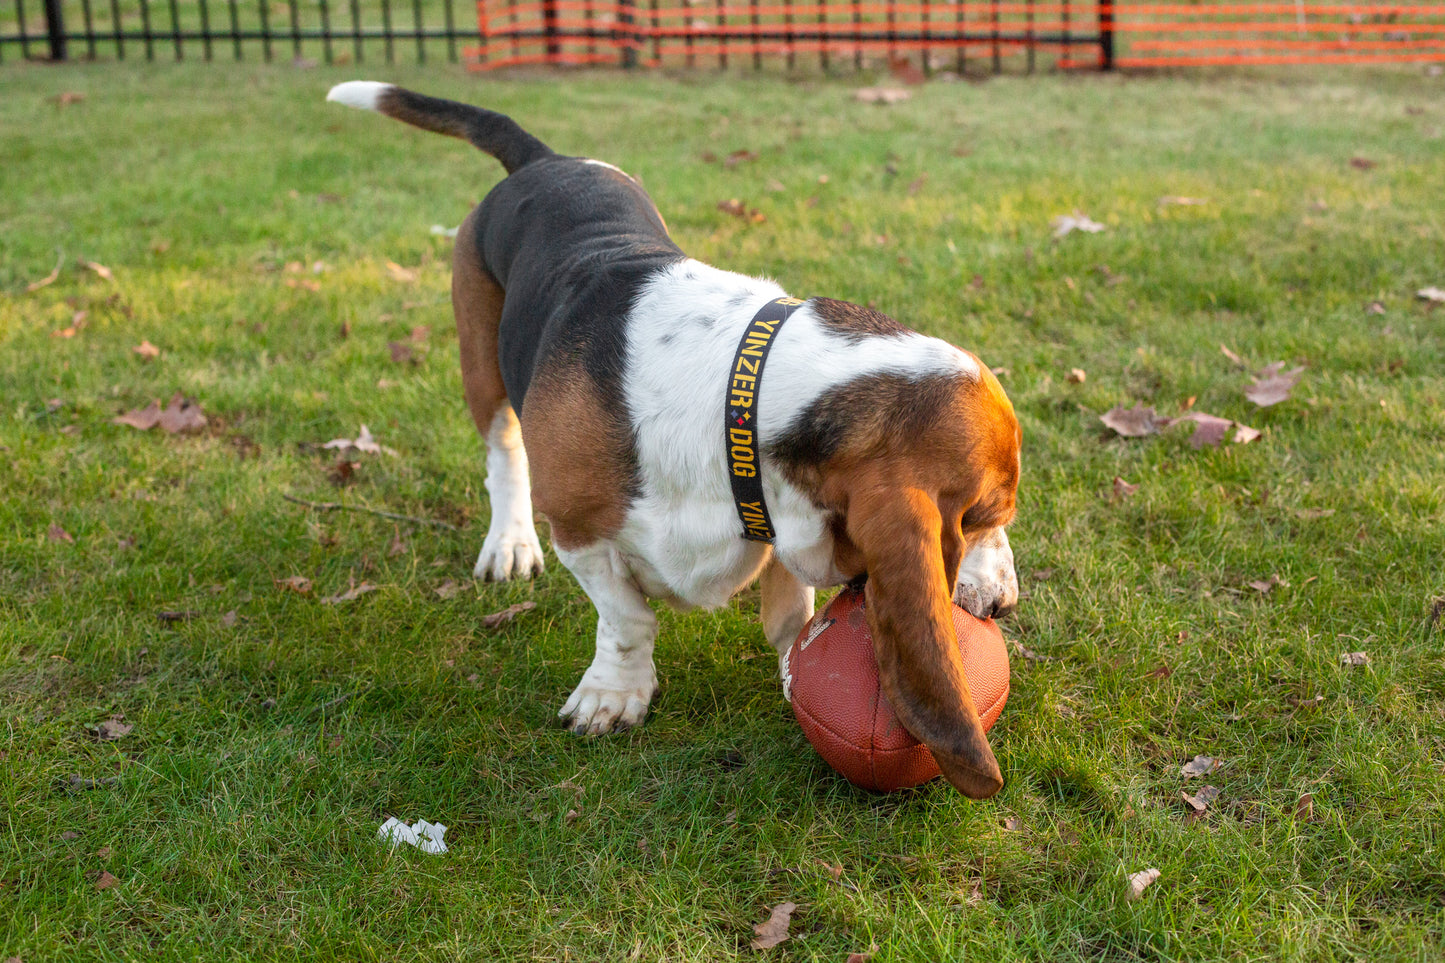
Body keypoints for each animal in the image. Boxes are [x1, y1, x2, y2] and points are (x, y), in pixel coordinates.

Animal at [330, 82, 1028, 792]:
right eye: (982, 517)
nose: (1003, 605)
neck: (740, 400)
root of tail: (544, 160)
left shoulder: (778, 519)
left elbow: (789, 618)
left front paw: (794, 676)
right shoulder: (578, 532)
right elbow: (627, 619)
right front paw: (613, 695)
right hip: (482, 366)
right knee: (504, 455)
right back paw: (509, 544)